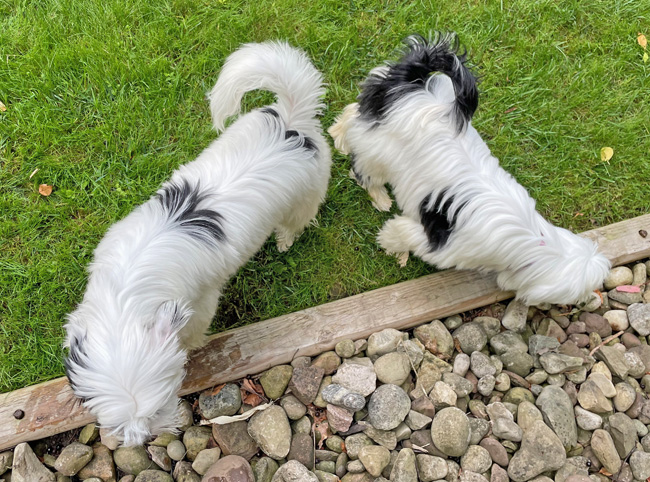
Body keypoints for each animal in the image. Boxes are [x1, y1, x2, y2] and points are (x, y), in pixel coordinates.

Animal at [63, 41, 332, 444]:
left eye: (158, 407)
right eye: (120, 422)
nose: (145, 438)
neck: (127, 291)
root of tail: (292, 120)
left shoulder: (201, 301)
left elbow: (195, 327)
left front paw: (190, 346)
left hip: (307, 194)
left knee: (299, 218)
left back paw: (285, 240)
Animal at [330, 34, 608, 306]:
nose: (592, 298)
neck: (534, 238)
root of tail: (414, 80)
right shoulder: (438, 245)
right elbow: (401, 232)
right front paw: (389, 243)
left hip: (375, 114)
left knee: (353, 113)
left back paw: (339, 135)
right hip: (380, 151)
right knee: (365, 169)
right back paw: (379, 196)